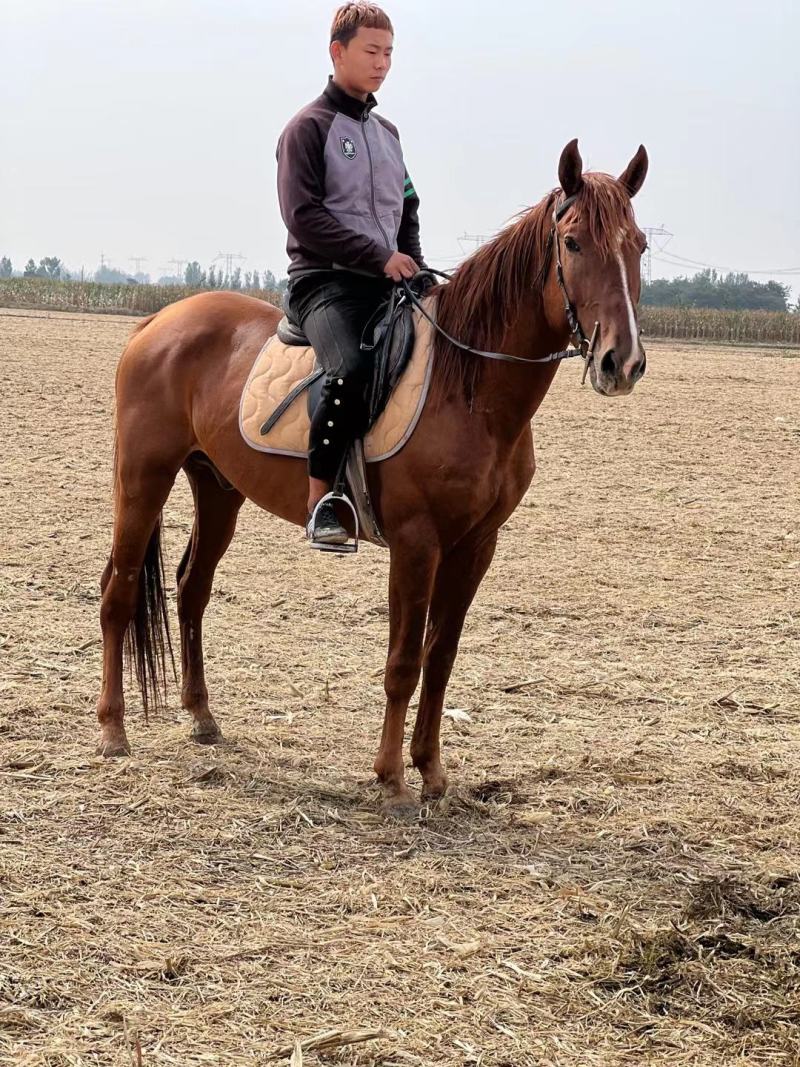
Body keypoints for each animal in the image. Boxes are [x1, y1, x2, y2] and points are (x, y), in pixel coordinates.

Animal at [96, 138, 649, 811]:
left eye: (638, 244)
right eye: (572, 242)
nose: (622, 361)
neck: (467, 385)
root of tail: (156, 322)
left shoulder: (476, 545)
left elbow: (441, 658)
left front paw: (431, 770)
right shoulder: (416, 543)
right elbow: (404, 662)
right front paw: (392, 778)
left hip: (218, 488)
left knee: (191, 588)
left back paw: (202, 718)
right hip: (143, 478)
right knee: (119, 591)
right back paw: (113, 730)